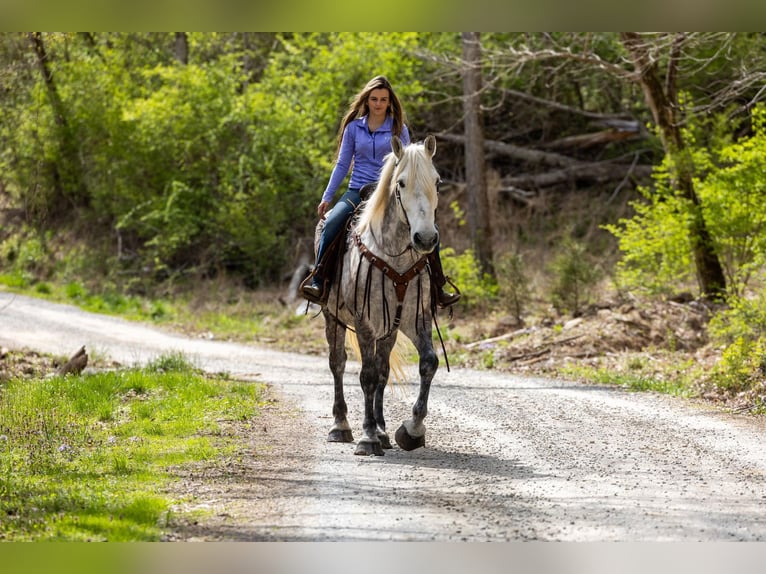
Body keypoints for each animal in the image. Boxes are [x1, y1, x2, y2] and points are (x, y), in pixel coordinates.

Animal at [316, 135, 444, 460]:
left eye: (437, 181)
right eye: (401, 183)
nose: (425, 239)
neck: (394, 256)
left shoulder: (415, 318)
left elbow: (427, 363)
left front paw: (411, 431)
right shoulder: (364, 322)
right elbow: (367, 376)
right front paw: (368, 437)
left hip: (390, 329)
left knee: (384, 371)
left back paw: (383, 431)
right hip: (332, 317)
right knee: (338, 363)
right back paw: (341, 426)